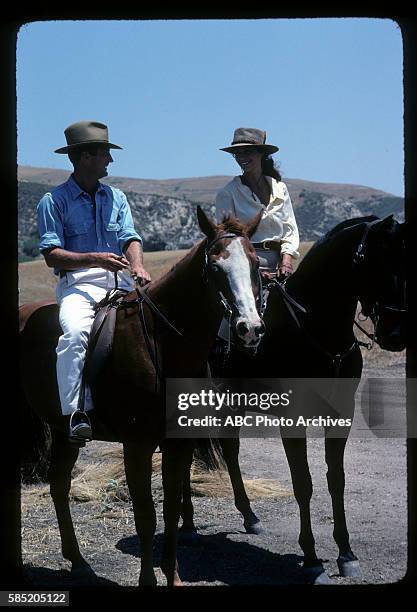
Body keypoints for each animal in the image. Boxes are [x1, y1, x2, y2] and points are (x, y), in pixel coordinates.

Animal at [19, 207, 264, 588]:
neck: (164, 342)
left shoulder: (178, 444)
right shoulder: (137, 445)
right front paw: (149, 580)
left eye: (255, 264)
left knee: (59, 485)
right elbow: (146, 515)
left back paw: (78, 561)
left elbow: (172, 508)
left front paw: (173, 576)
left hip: (62, 432)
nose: (249, 329)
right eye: (215, 267)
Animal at [180, 215, 404, 584]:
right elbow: (303, 484)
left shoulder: (339, 417)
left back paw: (249, 516)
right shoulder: (292, 420)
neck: (318, 329)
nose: (397, 335)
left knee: (230, 450)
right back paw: (186, 523)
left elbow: (336, 480)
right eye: (378, 261)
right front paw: (312, 560)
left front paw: (346, 553)